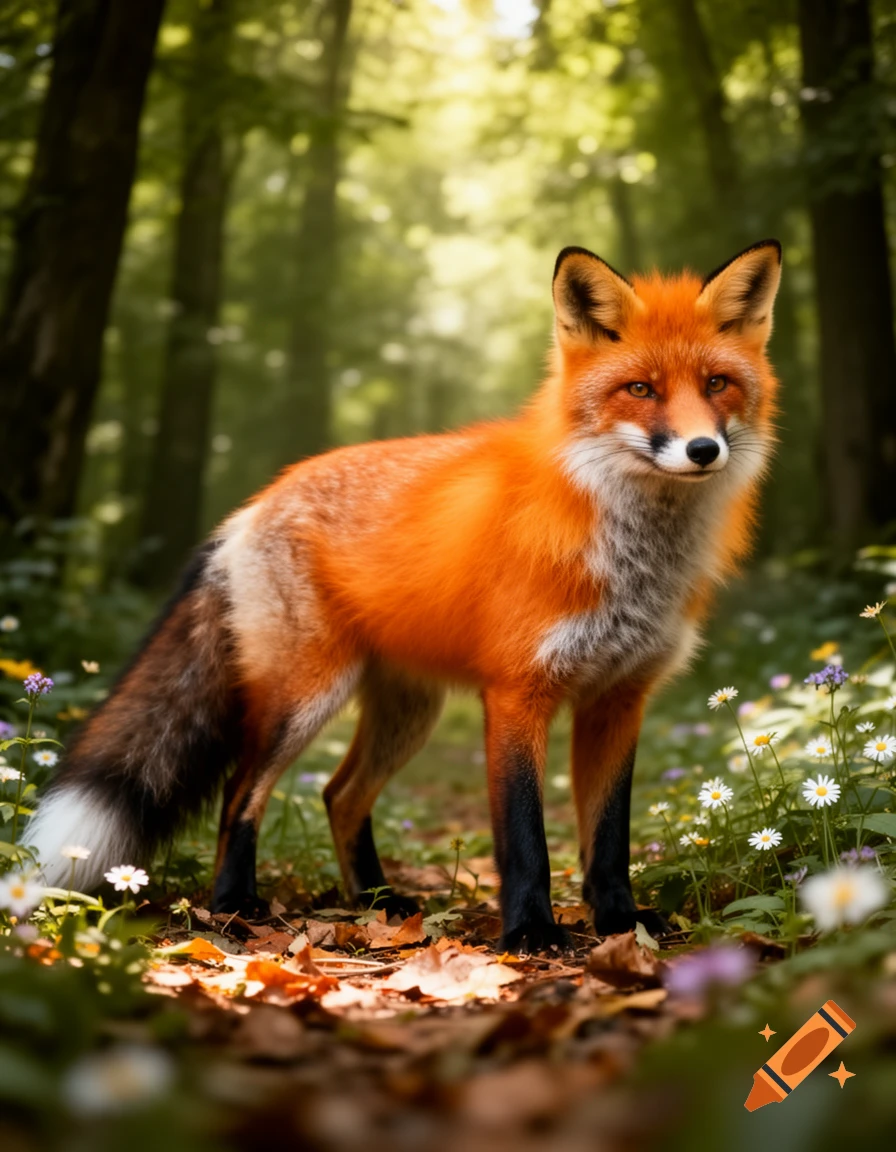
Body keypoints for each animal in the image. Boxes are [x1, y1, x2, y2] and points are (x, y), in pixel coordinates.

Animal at [26, 239, 781, 952]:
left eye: (717, 383)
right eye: (641, 389)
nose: (703, 449)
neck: (630, 559)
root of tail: (252, 506)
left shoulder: (620, 698)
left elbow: (609, 836)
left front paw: (619, 920)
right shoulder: (517, 691)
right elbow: (525, 836)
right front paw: (531, 933)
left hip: (407, 712)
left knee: (339, 795)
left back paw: (376, 901)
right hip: (304, 698)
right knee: (242, 794)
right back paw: (236, 903)